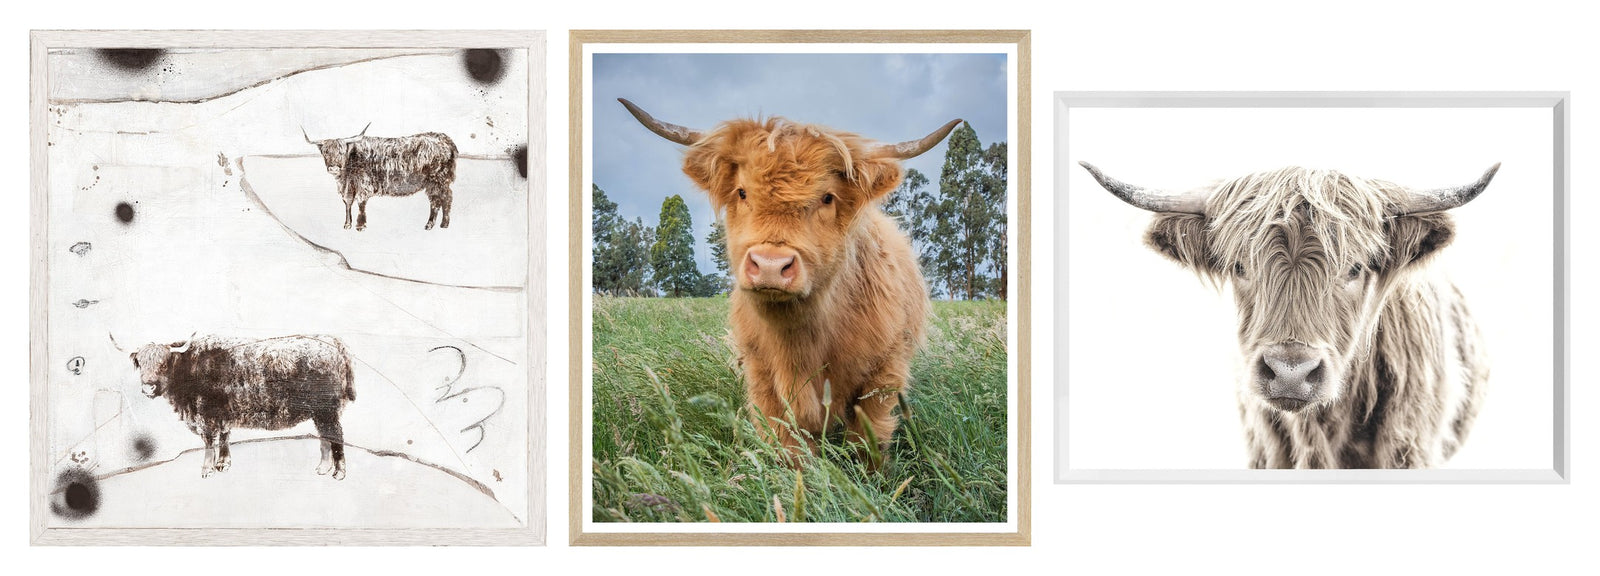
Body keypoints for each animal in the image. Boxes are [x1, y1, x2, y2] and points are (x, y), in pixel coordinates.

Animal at [114, 334, 357, 479]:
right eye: (141, 364)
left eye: (163, 364)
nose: (148, 388)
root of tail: (331, 341)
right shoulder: (223, 415)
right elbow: (224, 438)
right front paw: (223, 464)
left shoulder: (207, 416)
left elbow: (209, 443)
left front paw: (207, 470)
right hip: (319, 413)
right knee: (325, 437)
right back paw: (323, 468)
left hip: (327, 411)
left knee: (336, 436)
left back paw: (339, 472)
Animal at [304, 124, 458, 231]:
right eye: (325, 152)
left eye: (341, 152)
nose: (334, 168)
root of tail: (445, 139)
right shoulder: (348, 187)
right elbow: (347, 203)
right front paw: (347, 224)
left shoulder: (363, 185)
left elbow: (361, 203)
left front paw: (360, 225)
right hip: (432, 183)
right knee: (436, 200)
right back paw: (433, 224)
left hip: (439, 180)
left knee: (444, 199)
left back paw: (442, 224)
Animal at [621, 98, 960, 465]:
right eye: (742, 192)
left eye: (827, 197)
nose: (770, 265)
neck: (799, 343)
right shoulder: (762, 377)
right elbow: (788, 446)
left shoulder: (883, 375)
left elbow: (867, 444)